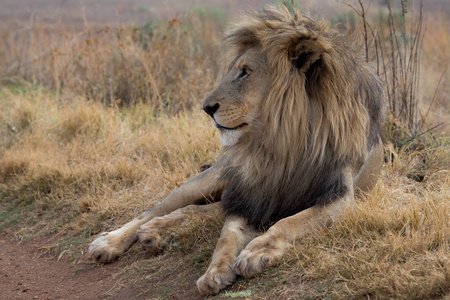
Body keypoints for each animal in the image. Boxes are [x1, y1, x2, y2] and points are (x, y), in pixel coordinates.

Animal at [89, 4, 386, 296]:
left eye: (245, 72)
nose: (206, 108)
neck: (281, 144)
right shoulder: (251, 193)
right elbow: (228, 234)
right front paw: (214, 271)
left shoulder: (339, 197)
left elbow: (292, 222)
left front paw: (257, 251)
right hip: (210, 179)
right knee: (154, 211)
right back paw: (112, 241)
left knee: (201, 210)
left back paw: (156, 232)